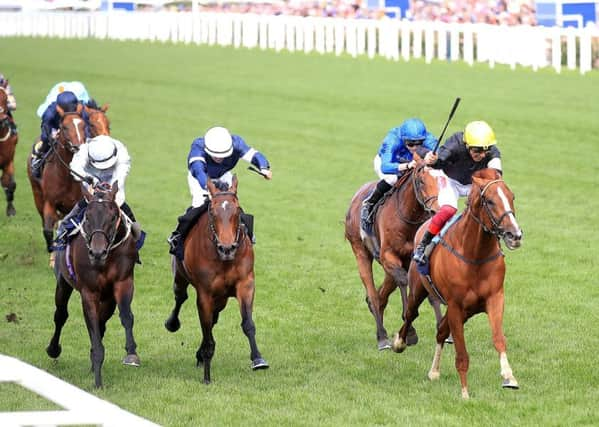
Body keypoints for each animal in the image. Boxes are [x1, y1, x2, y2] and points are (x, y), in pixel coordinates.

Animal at [27, 105, 86, 254]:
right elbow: (48, 230)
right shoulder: (50, 202)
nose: (77, 147)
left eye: (83, 125)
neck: (67, 176)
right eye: (64, 127)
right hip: (37, 195)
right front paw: (51, 249)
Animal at [47, 182, 141, 390]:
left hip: (107, 300)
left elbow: (126, 316)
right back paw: (53, 349)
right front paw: (98, 381)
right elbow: (92, 328)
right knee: (61, 315)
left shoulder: (123, 283)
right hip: (63, 283)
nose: (97, 252)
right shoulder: (89, 292)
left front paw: (131, 354)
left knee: (101, 322)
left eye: (112, 217)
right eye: (88, 217)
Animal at [164, 176, 268, 384]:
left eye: (237, 209)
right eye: (212, 211)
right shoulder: (205, 294)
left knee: (214, 318)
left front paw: (258, 359)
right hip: (180, 276)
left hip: (221, 298)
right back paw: (173, 324)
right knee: (180, 297)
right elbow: (207, 333)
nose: (227, 248)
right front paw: (207, 376)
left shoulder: (245, 284)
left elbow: (247, 323)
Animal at [344, 160, 442, 352]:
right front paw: (409, 332)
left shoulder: (416, 258)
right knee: (373, 295)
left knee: (381, 295)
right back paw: (382, 337)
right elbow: (404, 281)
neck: (408, 217)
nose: (436, 211)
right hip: (361, 251)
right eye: (421, 182)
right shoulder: (388, 256)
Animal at [392, 169, 524, 400]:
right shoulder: (455, 305)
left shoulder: (494, 298)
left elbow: (499, 338)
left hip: (467, 311)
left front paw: (509, 377)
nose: (514, 235)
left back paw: (434, 371)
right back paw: (399, 342)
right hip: (419, 290)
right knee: (411, 314)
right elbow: (462, 354)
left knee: (441, 331)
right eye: (490, 201)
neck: (475, 255)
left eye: (512, 197)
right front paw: (464, 392)